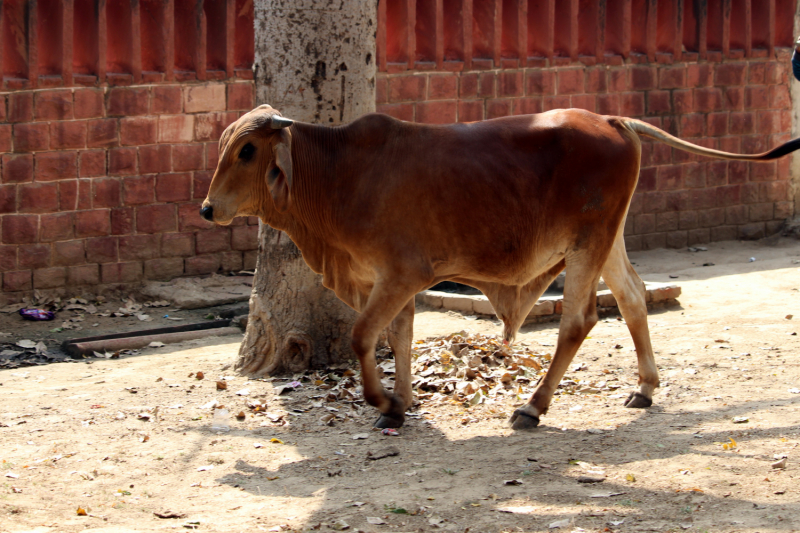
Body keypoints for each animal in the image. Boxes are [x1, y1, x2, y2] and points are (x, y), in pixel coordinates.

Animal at [202, 106, 800, 430]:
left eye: (248, 150)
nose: (208, 209)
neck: (340, 173)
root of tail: (611, 119)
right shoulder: (385, 281)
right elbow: (399, 337)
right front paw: (400, 404)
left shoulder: (401, 275)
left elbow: (364, 336)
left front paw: (383, 400)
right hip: (606, 241)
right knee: (632, 298)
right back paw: (646, 387)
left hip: (589, 242)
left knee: (578, 321)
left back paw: (533, 407)